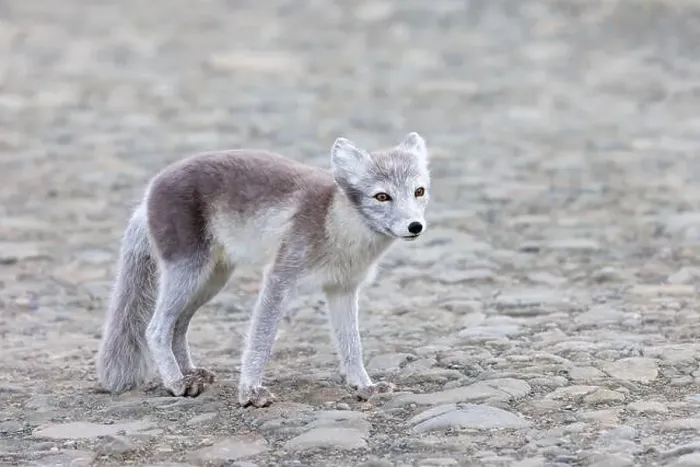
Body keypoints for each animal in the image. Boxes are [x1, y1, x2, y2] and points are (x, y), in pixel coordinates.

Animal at [95, 132, 431, 407]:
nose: (415, 226)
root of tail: (147, 194)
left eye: (419, 191)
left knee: (178, 326)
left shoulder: (343, 289)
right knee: (156, 328)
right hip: (187, 272)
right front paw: (249, 392)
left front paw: (364, 387)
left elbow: (352, 345)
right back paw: (177, 383)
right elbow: (262, 339)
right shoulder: (280, 278)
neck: (337, 226)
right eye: (382, 196)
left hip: (211, 281)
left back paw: (190, 374)